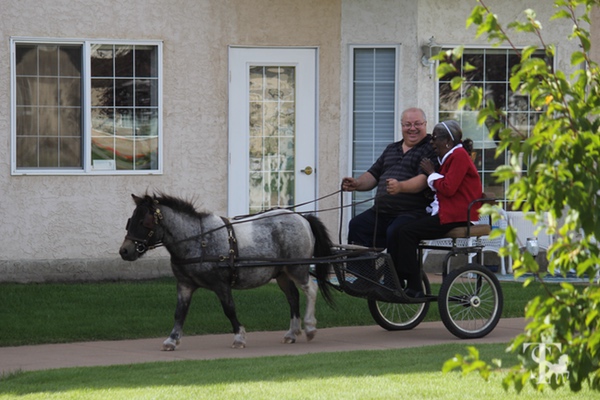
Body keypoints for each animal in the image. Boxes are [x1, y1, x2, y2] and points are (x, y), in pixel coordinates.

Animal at [117, 194, 332, 350]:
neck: (198, 240)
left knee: (310, 290)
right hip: (282, 274)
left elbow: (229, 309)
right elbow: (180, 312)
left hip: (297, 268)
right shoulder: (185, 284)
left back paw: (310, 327)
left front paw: (239, 337)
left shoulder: (221, 285)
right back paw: (292, 333)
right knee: (293, 297)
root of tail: (301, 217)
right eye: (130, 220)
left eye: (144, 222)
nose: (125, 251)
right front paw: (172, 339)